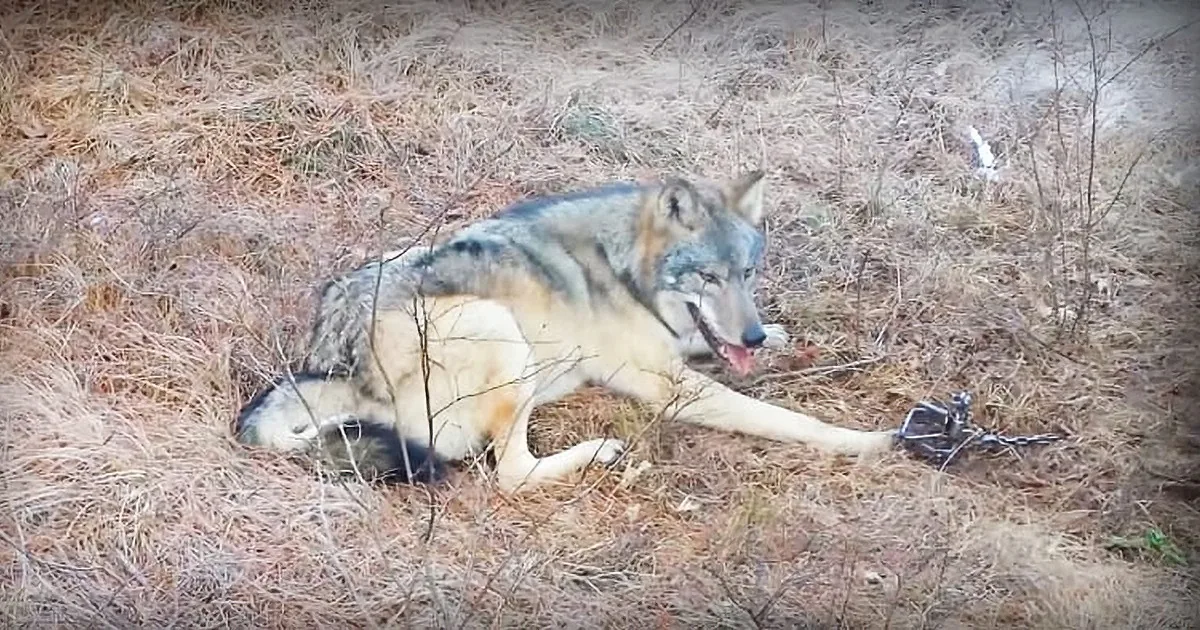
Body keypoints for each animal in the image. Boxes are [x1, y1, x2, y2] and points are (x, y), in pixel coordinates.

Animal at [234, 171, 898, 493]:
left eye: (748, 273)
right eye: (707, 276)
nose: (752, 338)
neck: (623, 268)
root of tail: (333, 363)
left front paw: (781, 337)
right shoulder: (670, 387)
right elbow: (791, 420)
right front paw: (872, 441)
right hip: (501, 331)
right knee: (508, 474)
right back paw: (597, 452)